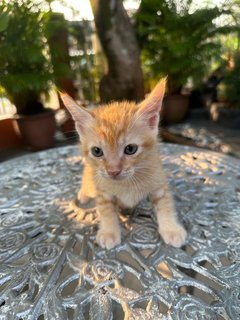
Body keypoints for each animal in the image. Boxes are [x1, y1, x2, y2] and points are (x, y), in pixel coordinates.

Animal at [59, 79, 186, 250]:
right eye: (97, 151)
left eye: (130, 149)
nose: (113, 171)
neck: (127, 183)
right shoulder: (103, 192)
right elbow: (106, 211)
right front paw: (109, 231)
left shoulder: (159, 184)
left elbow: (165, 204)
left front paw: (171, 228)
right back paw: (83, 194)